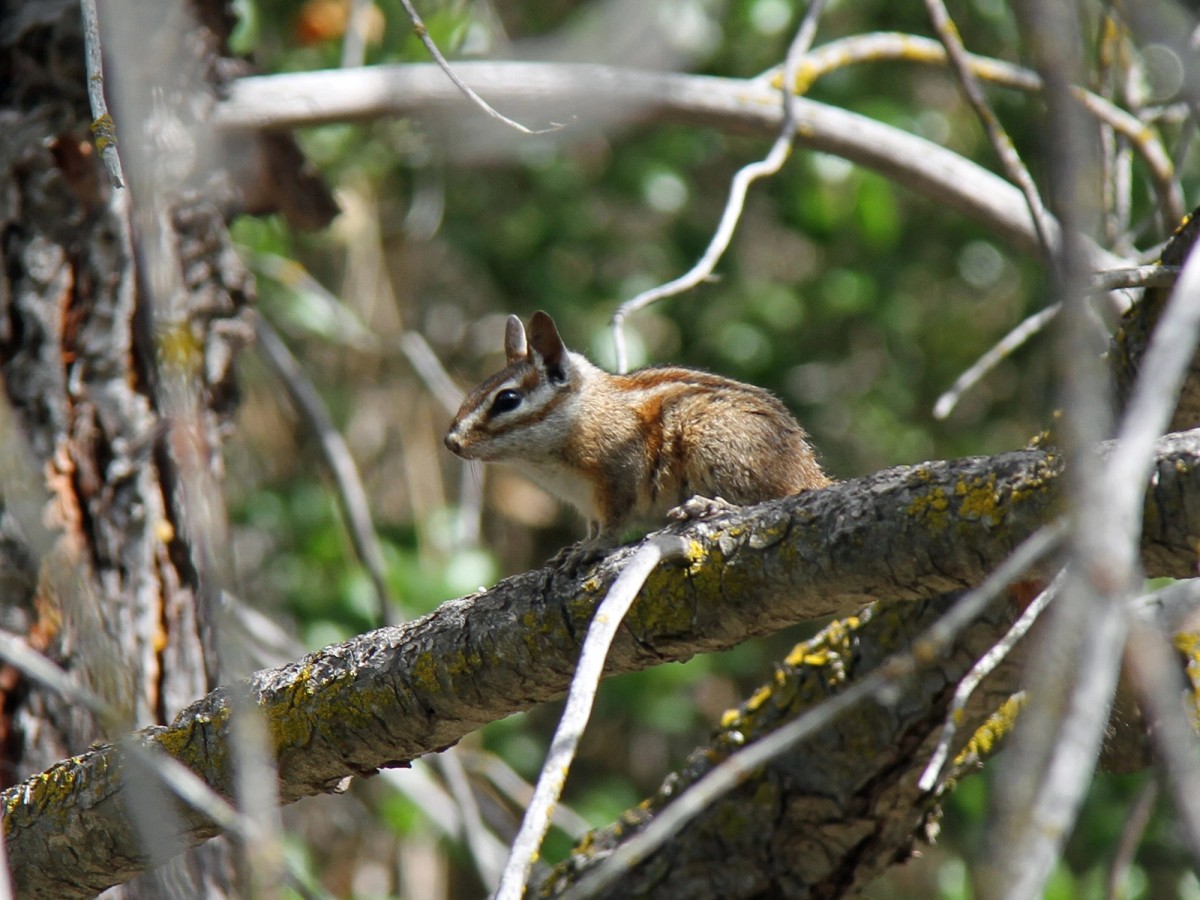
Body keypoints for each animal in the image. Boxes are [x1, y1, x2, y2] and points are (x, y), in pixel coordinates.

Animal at [444, 311, 831, 560]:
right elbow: (593, 525)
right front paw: (576, 547)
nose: (451, 442)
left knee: (768, 499)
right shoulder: (588, 506)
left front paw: (594, 548)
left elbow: (614, 520)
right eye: (472, 392)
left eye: (507, 400)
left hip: (718, 447)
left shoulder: (619, 474)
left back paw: (711, 505)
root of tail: (810, 471)